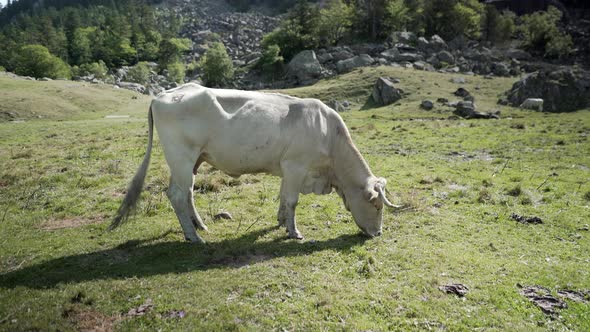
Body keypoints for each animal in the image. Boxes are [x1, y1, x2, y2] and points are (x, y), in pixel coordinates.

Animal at [110, 84, 398, 243]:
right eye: (376, 205)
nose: (378, 233)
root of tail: (166, 93)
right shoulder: (296, 166)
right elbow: (292, 200)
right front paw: (294, 232)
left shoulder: (287, 169)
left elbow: (283, 197)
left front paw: (281, 221)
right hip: (182, 157)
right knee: (178, 195)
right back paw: (194, 237)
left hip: (190, 162)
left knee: (187, 191)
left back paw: (199, 225)